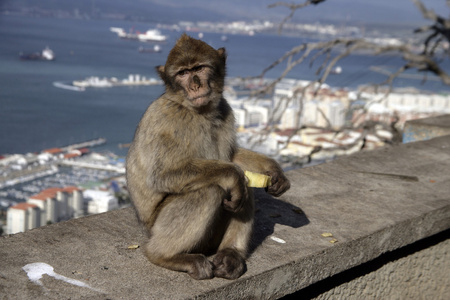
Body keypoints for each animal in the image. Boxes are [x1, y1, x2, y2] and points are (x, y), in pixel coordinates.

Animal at [125, 34, 290, 280]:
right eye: (182, 73)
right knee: (210, 190)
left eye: (200, 68)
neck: (197, 112)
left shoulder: (226, 110)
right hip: (158, 227)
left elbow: (232, 155)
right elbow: (164, 175)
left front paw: (273, 169)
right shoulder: (170, 120)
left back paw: (231, 254)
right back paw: (165, 256)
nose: (195, 85)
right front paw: (235, 175)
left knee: (243, 192)